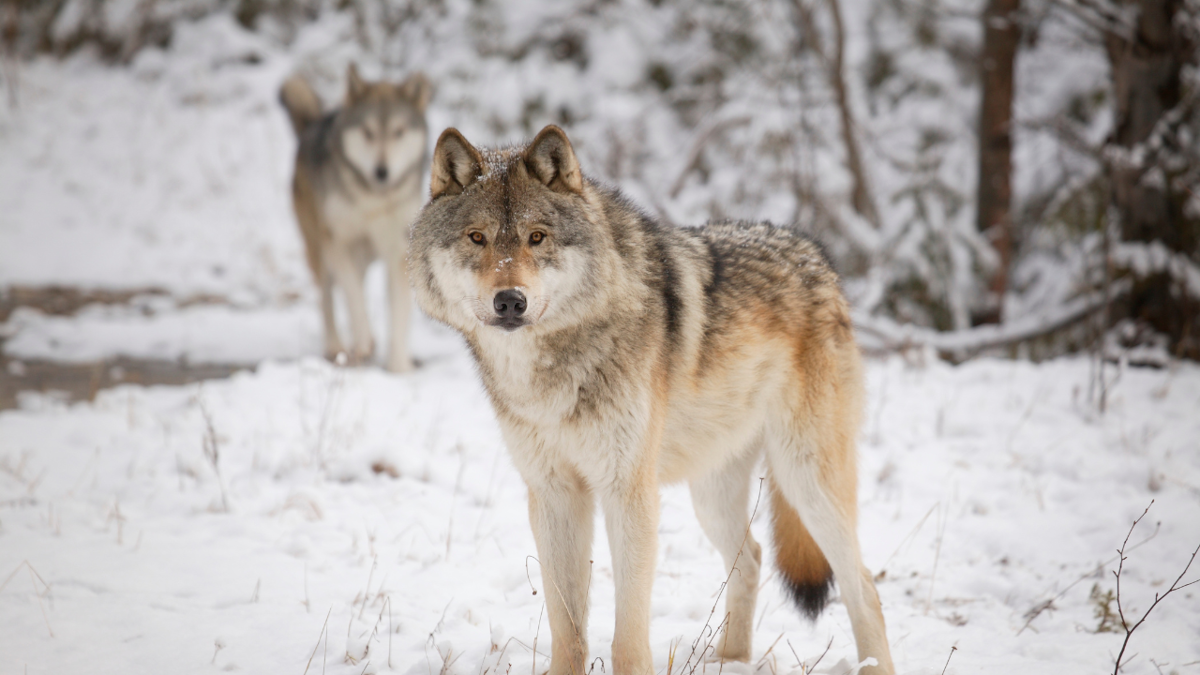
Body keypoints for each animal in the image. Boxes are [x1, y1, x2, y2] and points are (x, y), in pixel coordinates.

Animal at [278, 61, 434, 367]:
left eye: (398, 132)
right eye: (368, 132)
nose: (382, 171)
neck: (371, 199)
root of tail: (314, 124)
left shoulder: (398, 251)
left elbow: (397, 317)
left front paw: (399, 367)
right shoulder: (337, 243)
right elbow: (353, 298)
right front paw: (364, 341)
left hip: (363, 256)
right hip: (320, 252)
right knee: (328, 299)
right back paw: (337, 346)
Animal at [408, 121, 897, 672]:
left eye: (537, 237)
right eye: (477, 238)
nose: (510, 301)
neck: (551, 371)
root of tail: (815, 255)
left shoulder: (628, 492)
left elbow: (627, 635)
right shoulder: (554, 495)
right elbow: (567, 629)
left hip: (805, 480)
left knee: (863, 586)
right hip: (712, 494)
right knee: (751, 558)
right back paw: (729, 661)